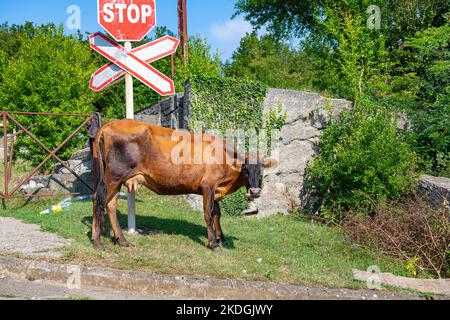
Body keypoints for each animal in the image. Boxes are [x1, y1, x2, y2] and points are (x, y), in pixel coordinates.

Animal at [91, 119, 274, 251]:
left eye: (262, 170)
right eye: (246, 170)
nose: (255, 191)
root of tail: (110, 124)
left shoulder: (215, 189)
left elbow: (217, 214)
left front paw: (221, 238)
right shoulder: (208, 186)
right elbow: (209, 214)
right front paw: (213, 243)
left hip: (115, 179)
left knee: (110, 204)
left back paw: (121, 240)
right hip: (113, 177)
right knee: (97, 200)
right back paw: (97, 241)